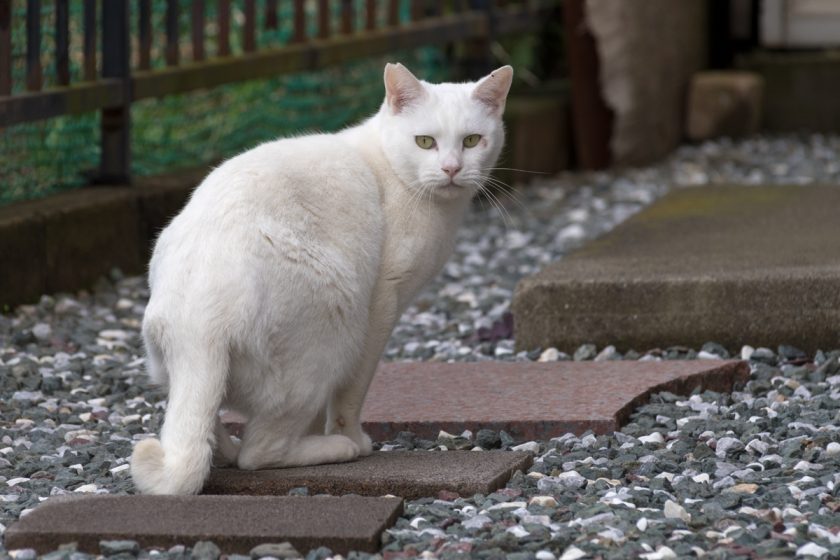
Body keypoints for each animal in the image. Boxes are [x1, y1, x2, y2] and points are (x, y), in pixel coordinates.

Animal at [131, 61, 512, 494]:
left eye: (472, 141)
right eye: (425, 142)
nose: (451, 169)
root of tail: (198, 325)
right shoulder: (381, 306)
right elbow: (351, 393)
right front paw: (349, 437)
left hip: (167, 369)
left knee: (208, 425)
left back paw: (228, 450)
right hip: (335, 329)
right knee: (259, 452)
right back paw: (335, 448)